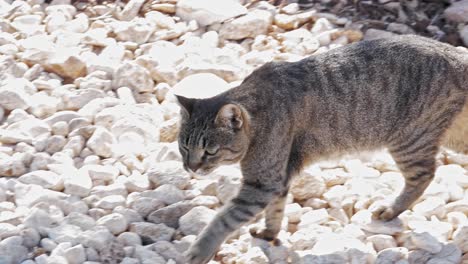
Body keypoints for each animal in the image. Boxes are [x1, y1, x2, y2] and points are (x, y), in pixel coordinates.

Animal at [175, 35, 468, 264]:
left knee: (424, 176)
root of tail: (456, 55)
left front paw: (199, 251)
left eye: (210, 151)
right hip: (450, 137)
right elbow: (275, 210)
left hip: (410, 140)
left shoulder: (263, 183)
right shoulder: (280, 176)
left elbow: (224, 219)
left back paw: (391, 209)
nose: (191, 167)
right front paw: (270, 234)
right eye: (184, 146)